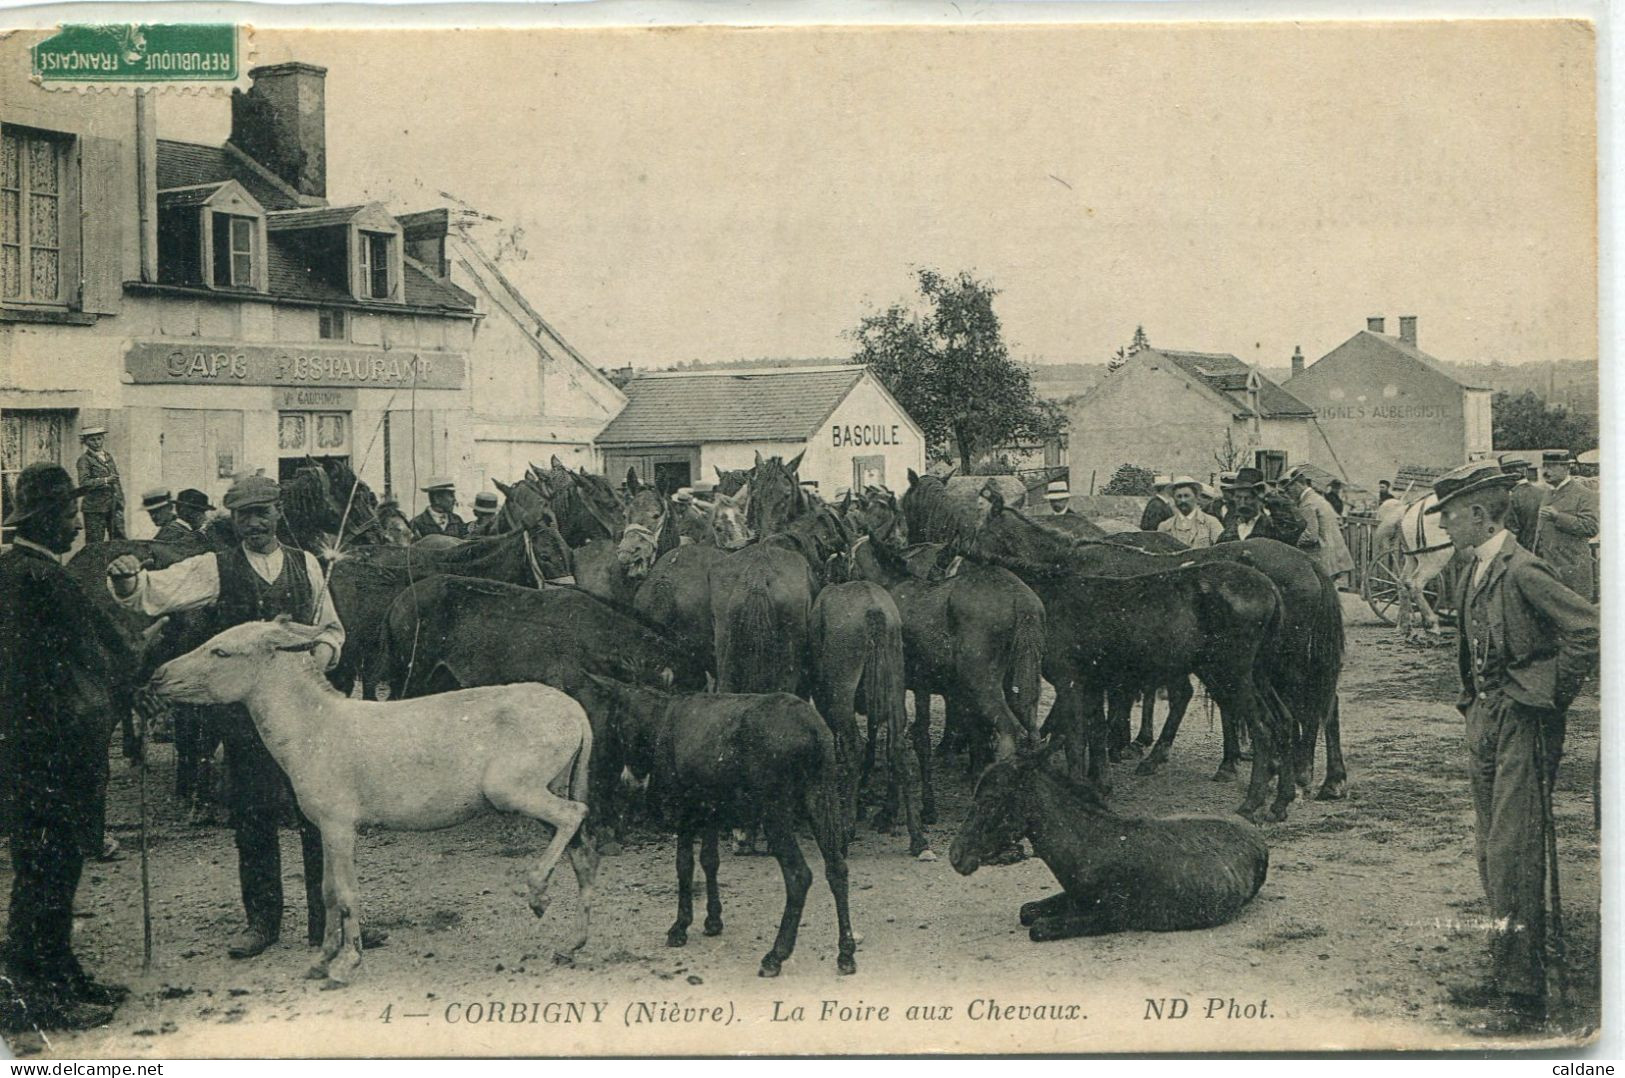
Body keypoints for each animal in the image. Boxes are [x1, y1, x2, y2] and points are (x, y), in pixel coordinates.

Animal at [147, 614, 598, 988]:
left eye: (220, 651)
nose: (156, 677)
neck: (315, 728)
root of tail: (576, 711)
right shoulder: (325, 829)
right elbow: (327, 891)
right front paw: (320, 961)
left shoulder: (339, 826)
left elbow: (346, 894)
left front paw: (346, 964)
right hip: (548, 788)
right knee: (581, 849)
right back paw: (572, 944)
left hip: (512, 790)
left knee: (575, 815)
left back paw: (538, 893)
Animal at [575, 679, 858, 982]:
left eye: (605, 719)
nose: (623, 780)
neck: (656, 723)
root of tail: (814, 729)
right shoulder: (710, 808)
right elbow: (710, 861)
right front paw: (713, 920)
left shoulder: (684, 807)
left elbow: (684, 865)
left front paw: (680, 926)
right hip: (822, 795)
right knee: (837, 869)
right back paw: (846, 953)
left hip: (776, 809)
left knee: (799, 875)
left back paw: (776, 955)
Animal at [949, 747, 1267, 943]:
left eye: (990, 800)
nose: (956, 856)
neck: (1091, 845)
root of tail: (1256, 835)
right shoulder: (1073, 897)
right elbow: (1027, 911)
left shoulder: (1113, 916)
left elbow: (1037, 928)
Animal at [962, 500, 1293, 825]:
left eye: (980, 534)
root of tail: (1269, 587)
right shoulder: (1092, 682)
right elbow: (1094, 730)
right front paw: (1100, 783)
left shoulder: (1071, 682)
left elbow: (1075, 736)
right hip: (1253, 675)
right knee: (1282, 721)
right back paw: (1279, 799)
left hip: (1229, 674)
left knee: (1262, 729)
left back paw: (1250, 803)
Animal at [1365, 494, 1456, 643]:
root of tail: (1409, 508)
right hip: (1436, 557)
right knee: (1415, 584)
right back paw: (1431, 626)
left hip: (1412, 558)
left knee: (1402, 582)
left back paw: (1403, 626)